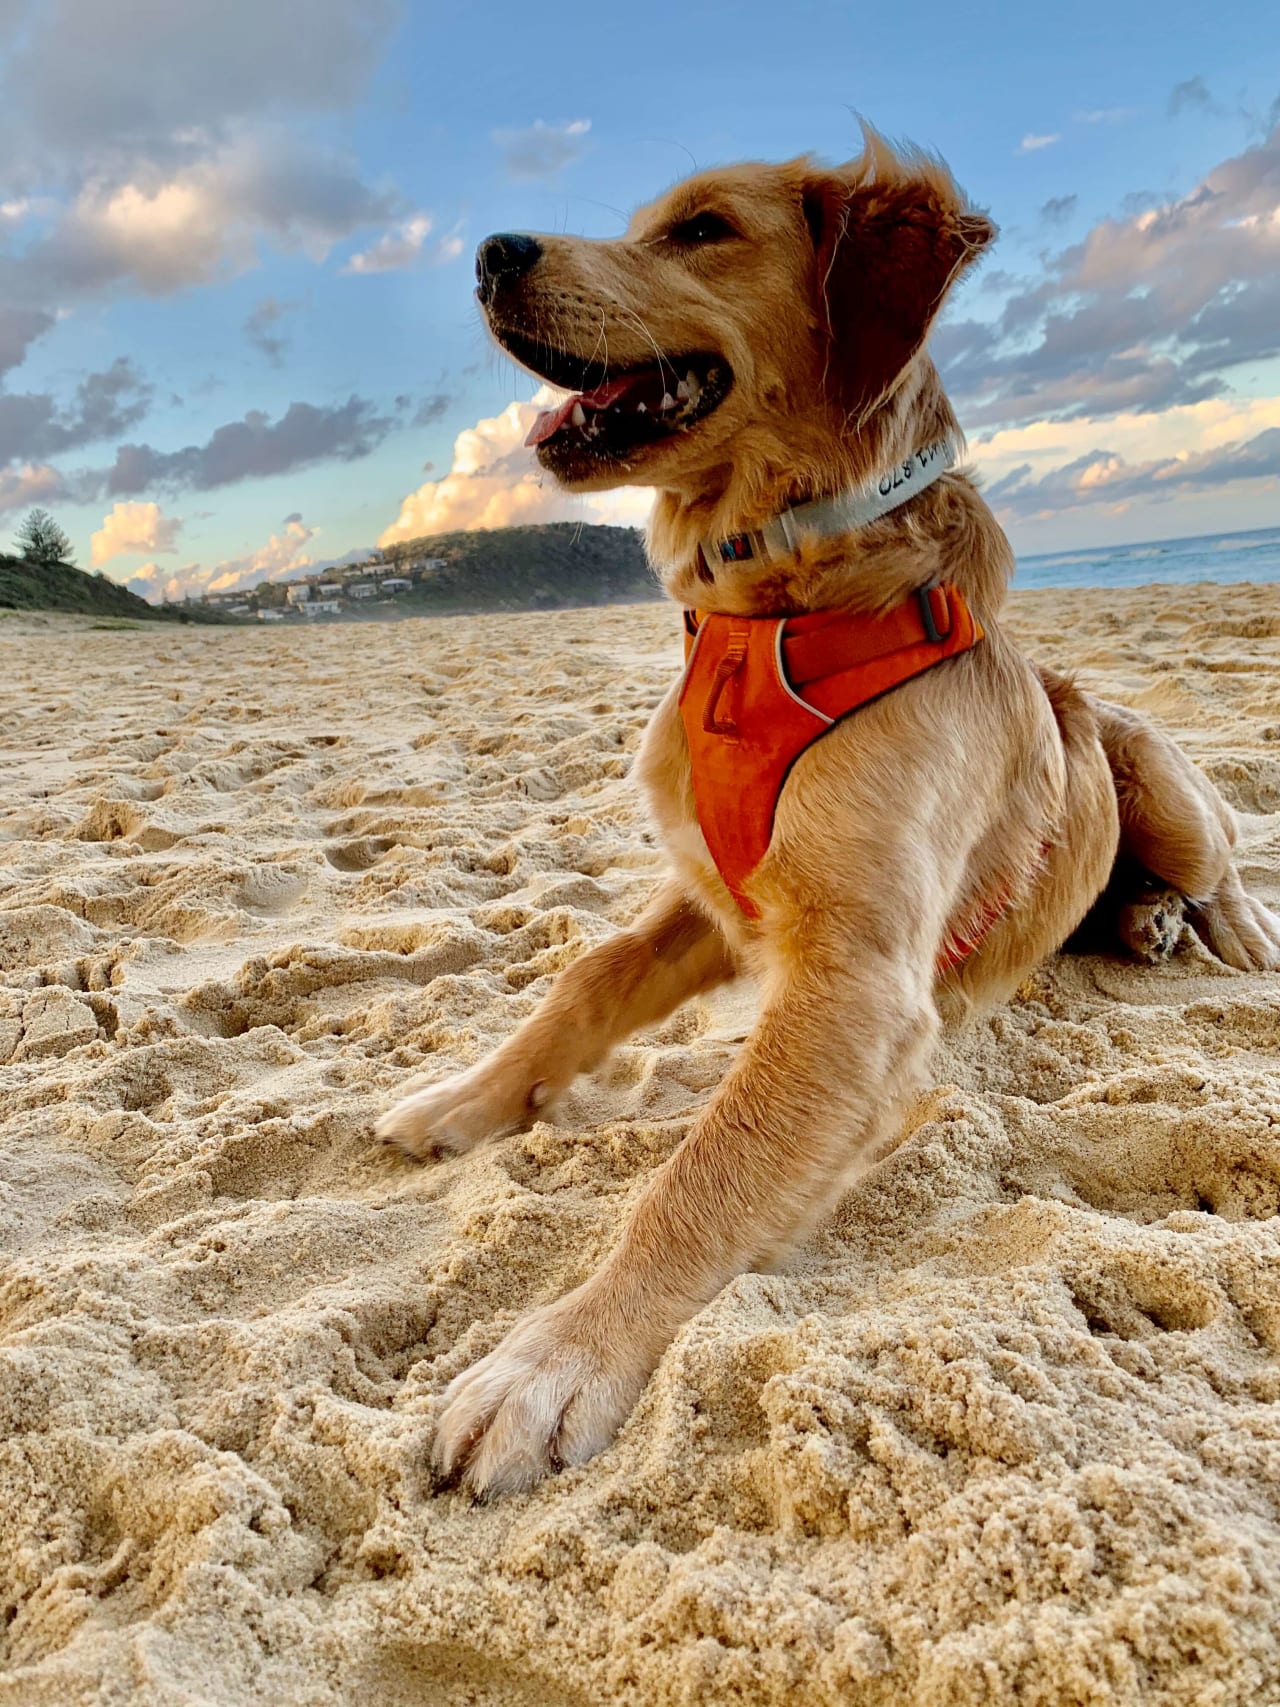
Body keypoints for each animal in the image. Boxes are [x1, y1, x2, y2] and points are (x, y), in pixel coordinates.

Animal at [378, 129, 1280, 1495]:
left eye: (700, 230)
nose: (488, 252)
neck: (771, 609)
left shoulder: (855, 979)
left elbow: (699, 1173)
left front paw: (552, 1360)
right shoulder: (714, 895)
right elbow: (581, 981)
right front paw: (465, 1101)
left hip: (1148, 772)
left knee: (1219, 862)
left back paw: (1206, 929)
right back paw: (1138, 924)